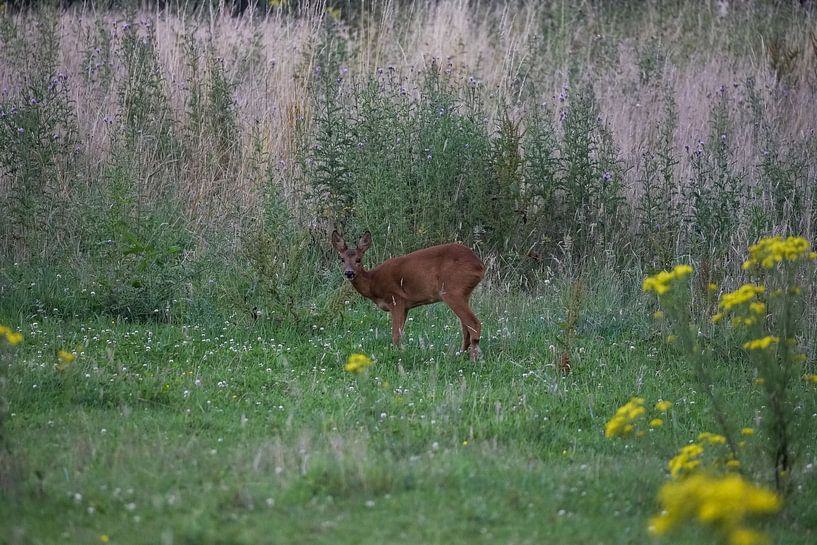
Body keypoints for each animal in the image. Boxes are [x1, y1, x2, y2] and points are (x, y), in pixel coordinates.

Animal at [331, 230, 485, 361]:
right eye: (341, 259)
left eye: (358, 259)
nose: (349, 273)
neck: (372, 282)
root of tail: (480, 266)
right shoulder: (406, 307)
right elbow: (399, 333)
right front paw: (401, 352)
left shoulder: (396, 299)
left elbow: (395, 335)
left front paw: (397, 355)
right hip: (463, 293)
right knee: (466, 327)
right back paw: (459, 355)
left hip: (452, 290)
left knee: (473, 323)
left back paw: (473, 359)